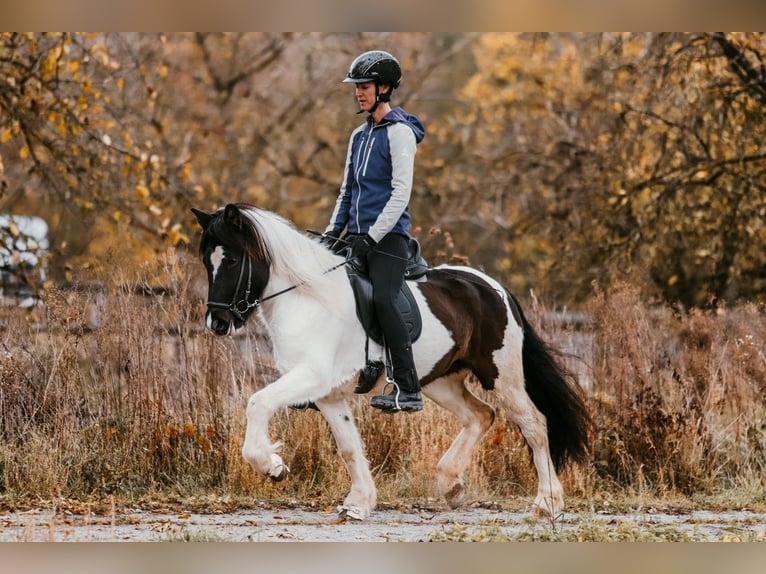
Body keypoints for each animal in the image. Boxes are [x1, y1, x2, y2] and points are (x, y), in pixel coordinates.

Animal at [191, 202, 591, 520]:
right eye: (206, 262)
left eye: (231, 260)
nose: (218, 323)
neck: (308, 298)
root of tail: (494, 288)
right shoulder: (329, 395)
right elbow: (349, 447)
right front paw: (358, 503)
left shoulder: (312, 376)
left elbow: (257, 403)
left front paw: (271, 466)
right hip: (439, 381)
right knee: (481, 415)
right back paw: (451, 485)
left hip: (501, 374)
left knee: (534, 424)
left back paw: (547, 505)